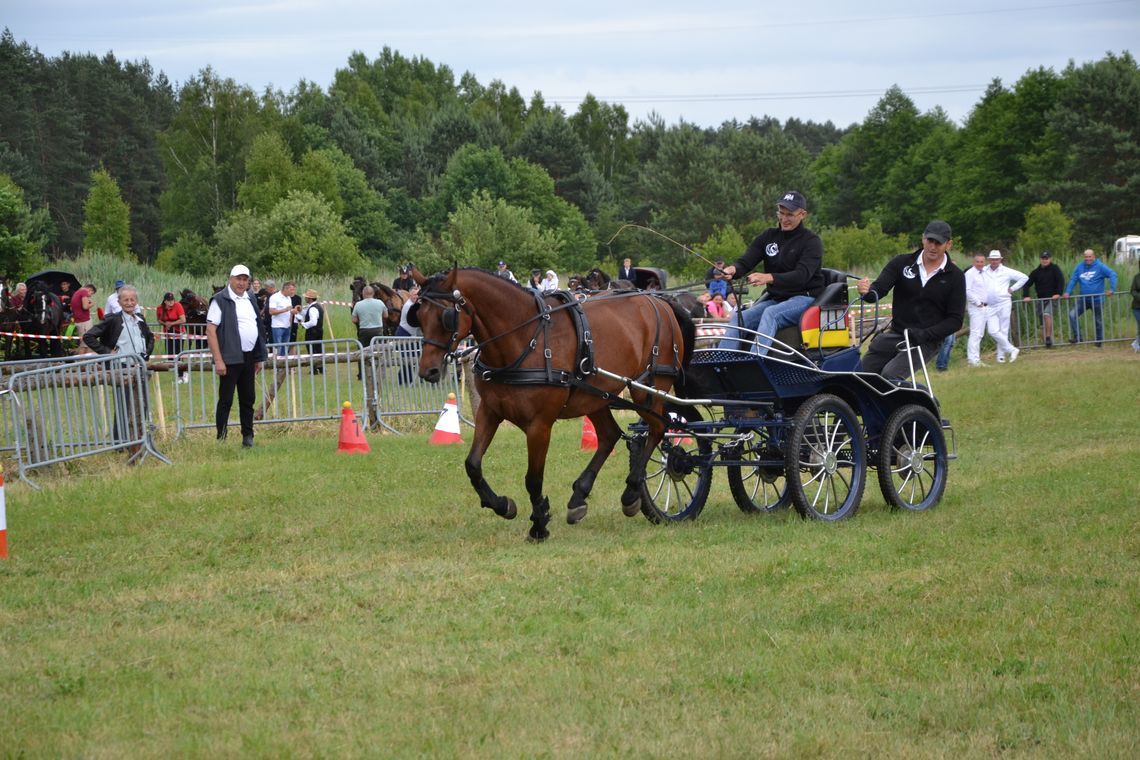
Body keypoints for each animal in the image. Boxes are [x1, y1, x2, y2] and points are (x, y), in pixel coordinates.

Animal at [410, 267, 693, 540]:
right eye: (418, 316)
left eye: (446, 316)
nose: (427, 371)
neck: (524, 339)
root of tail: (662, 301)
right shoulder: (489, 412)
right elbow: (473, 464)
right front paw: (503, 505)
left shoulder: (540, 425)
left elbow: (533, 479)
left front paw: (539, 524)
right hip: (596, 395)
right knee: (610, 435)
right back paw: (579, 497)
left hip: (649, 389)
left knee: (657, 429)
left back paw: (632, 492)